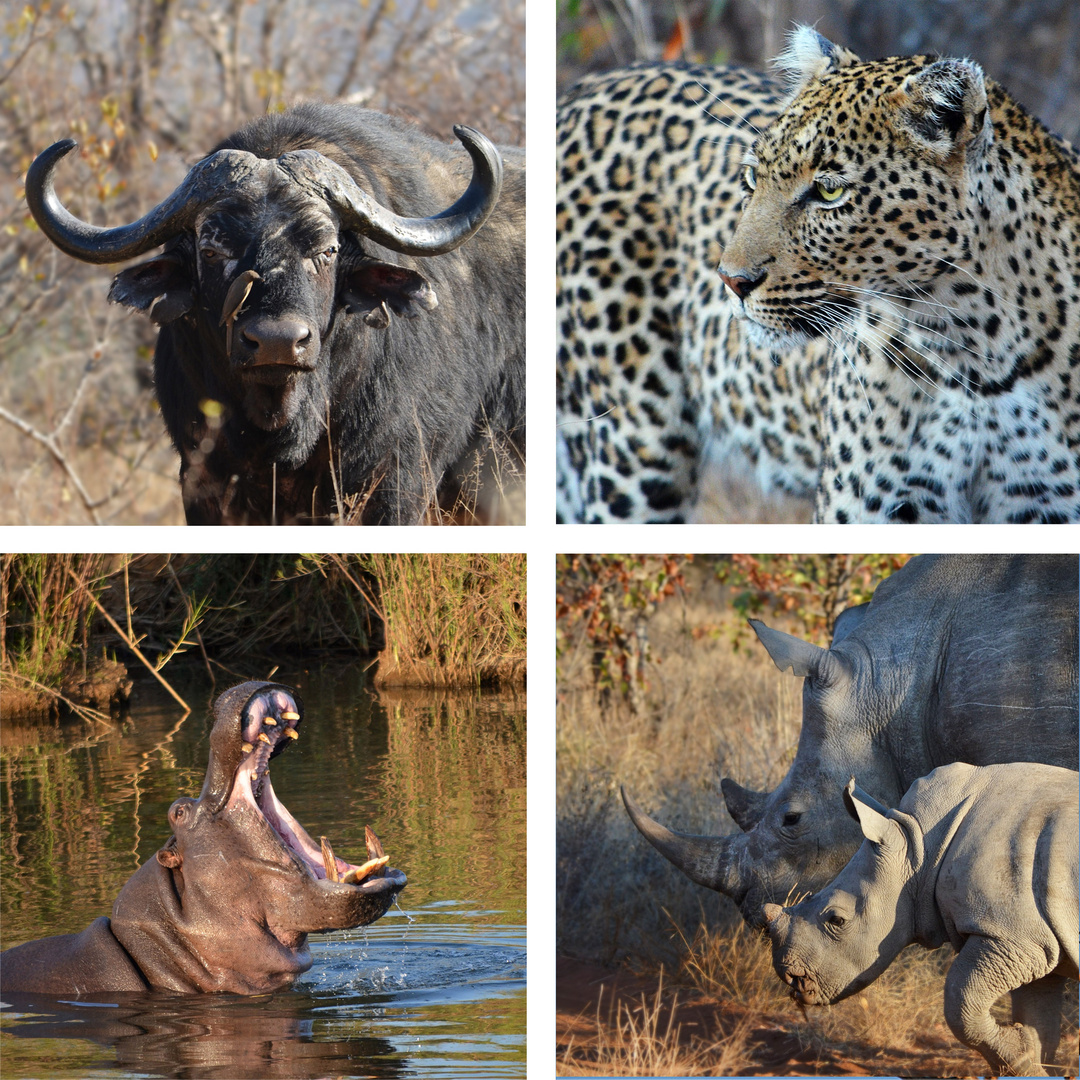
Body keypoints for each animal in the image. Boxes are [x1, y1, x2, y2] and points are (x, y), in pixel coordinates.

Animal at [557, 21, 1080, 518]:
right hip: (632, 453)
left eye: (829, 192)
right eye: (752, 177)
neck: (976, 348)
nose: (730, 281)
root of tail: (578, 93)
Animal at [764, 764, 1075, 1075]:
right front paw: (1031, 1058)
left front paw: (1021, 1057)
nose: (792, 977)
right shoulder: (1033, 938)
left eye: (837, 920)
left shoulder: (1012, 937)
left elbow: (961, 1001)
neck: (919, 847)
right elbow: (1039, 1022)